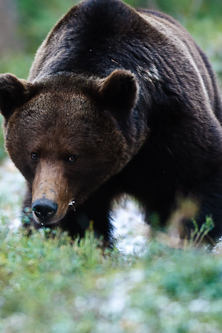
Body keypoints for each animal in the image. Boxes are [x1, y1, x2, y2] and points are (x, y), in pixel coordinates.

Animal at [0, 0, 222, 244]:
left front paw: (191, 236)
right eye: (33, 154)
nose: (45, 207)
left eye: (72, 157)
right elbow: (81, 222)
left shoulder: (173, 126)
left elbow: (201, 179)